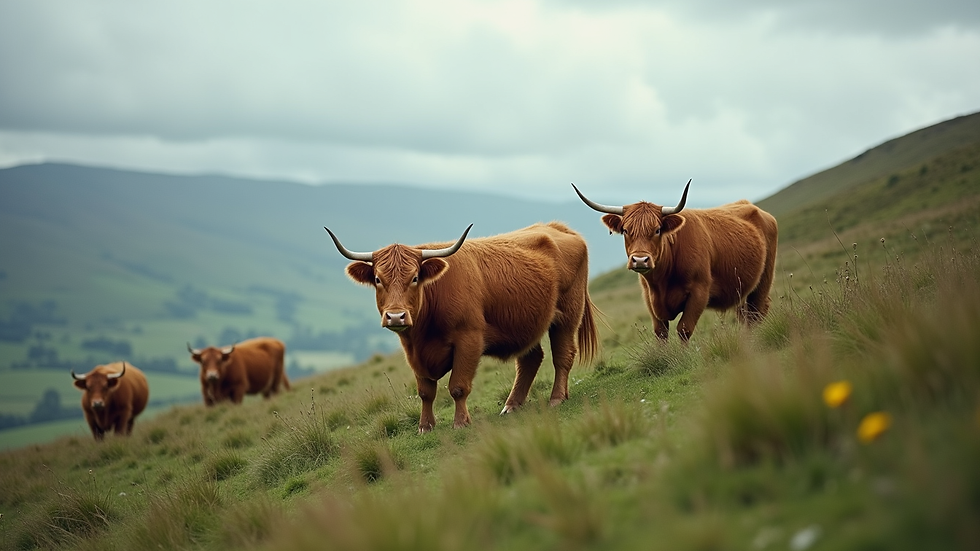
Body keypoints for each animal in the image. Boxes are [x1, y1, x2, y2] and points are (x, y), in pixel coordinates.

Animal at [324, 222, 599, 433]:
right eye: (378, 279)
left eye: (415, 278)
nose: (395, 316)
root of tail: (555, 226)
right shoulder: (413, 352)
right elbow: (425, 392)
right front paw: (425, 427)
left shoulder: (469, 340)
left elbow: (457, 386)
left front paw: (460, 422)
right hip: (525, 324)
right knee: (531, 360)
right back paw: (512, 405)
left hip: (567, 316)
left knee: (563, 356)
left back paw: (556, 398)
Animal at [573, 180, 778, 341]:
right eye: (625, 230)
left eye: (657, 230)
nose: (640, 260)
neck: (662, 281)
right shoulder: (649, 297)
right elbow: (661, 332)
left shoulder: (699, 292)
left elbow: (684, 329)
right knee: (746, 315)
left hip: (763, 282)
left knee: (757, 312)